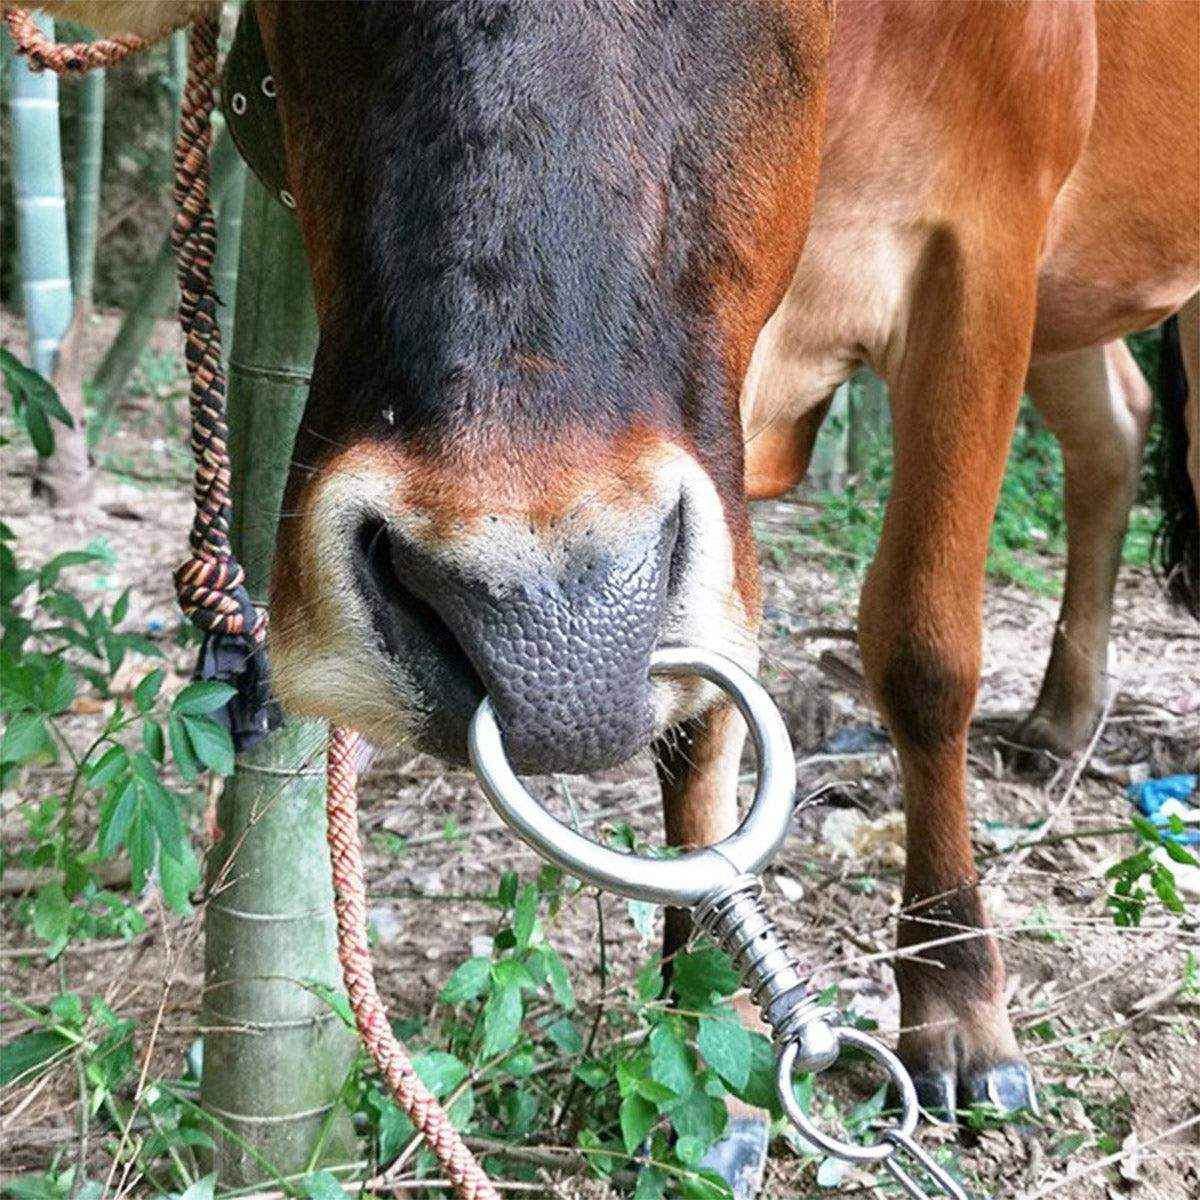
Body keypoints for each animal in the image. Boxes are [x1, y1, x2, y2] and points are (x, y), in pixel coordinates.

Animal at [41, 1, 1199, 1194]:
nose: (539, 614)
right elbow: (702, 718)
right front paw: (711, 1037)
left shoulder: (985, 253)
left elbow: (924, 652)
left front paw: (957, 1006)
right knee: (1114, 428)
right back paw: (1061, 718)